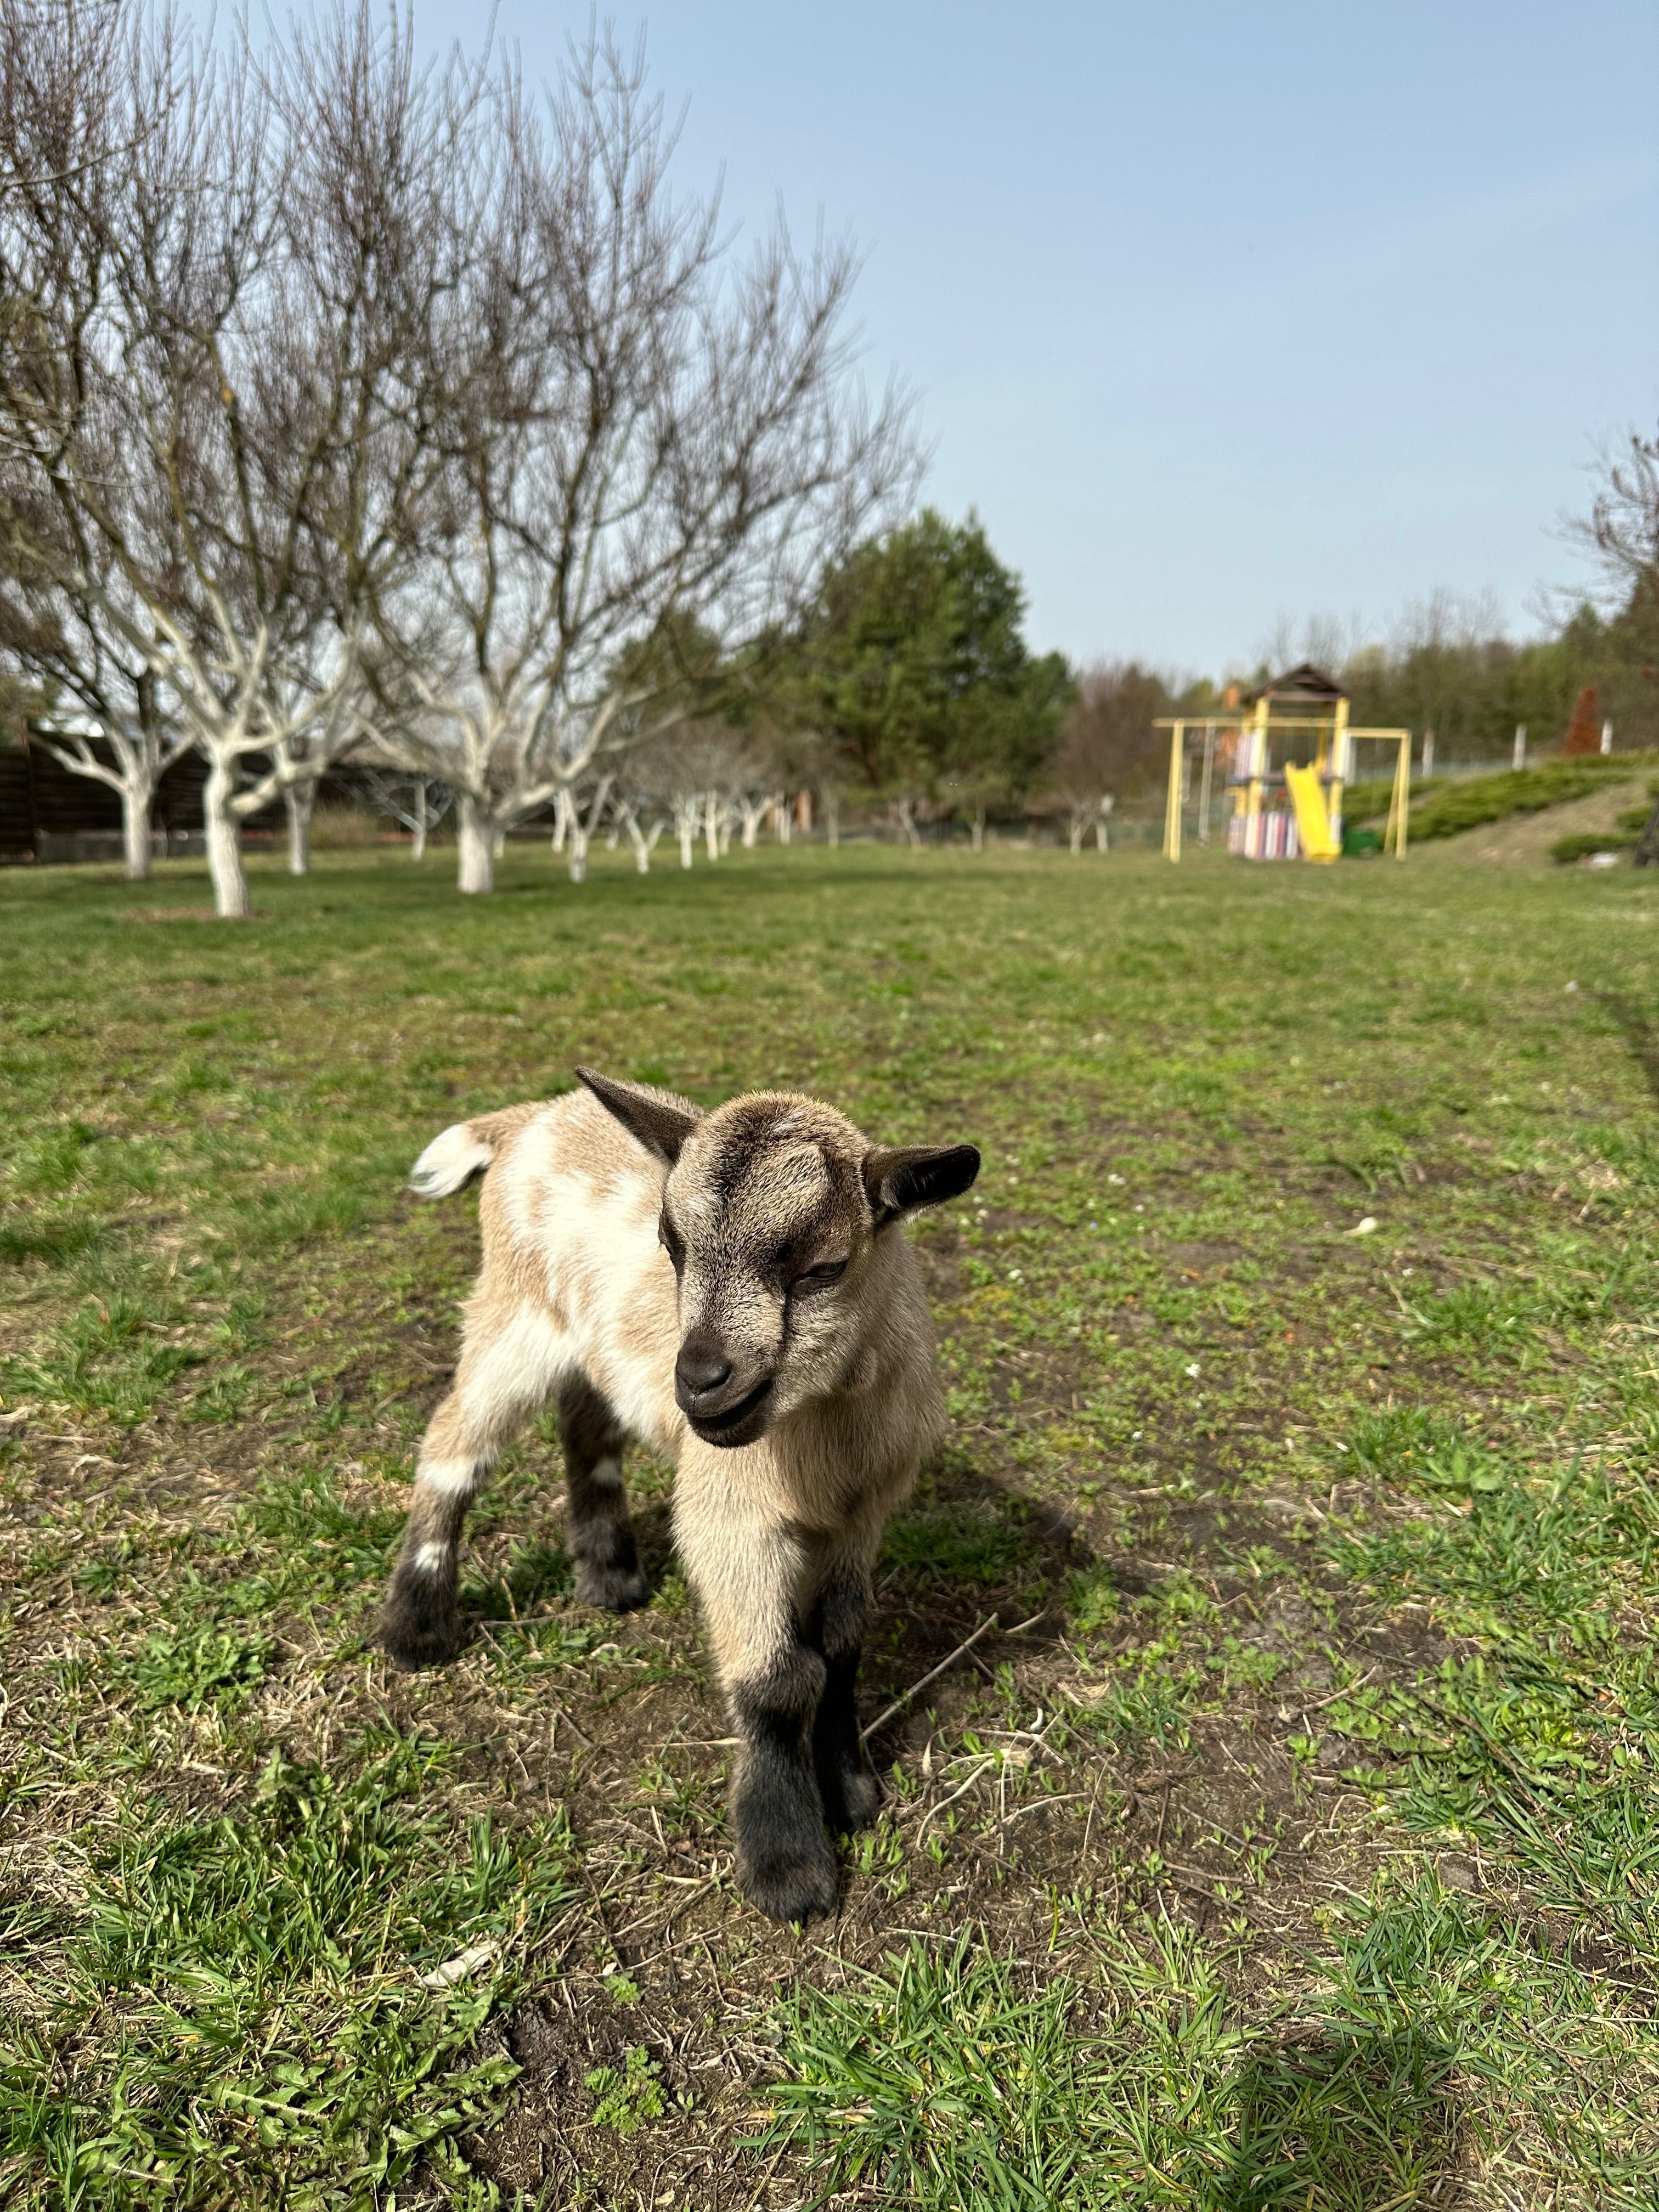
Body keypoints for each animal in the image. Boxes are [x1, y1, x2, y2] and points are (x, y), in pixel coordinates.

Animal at [382, 1070, 982, 1920]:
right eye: (673, 1244)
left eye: (822, 1268)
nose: (700, 1381)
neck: (825, 1431)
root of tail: (530, 1118)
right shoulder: (731, 1515)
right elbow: (778, 1680)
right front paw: (787, 1867)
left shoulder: (861, 1517)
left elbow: (840, 1648)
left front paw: (853, 1792)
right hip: (514, 1315)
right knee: (451, 1449)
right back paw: (417, 1627)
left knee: (584, 1424)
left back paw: (610, 1577)